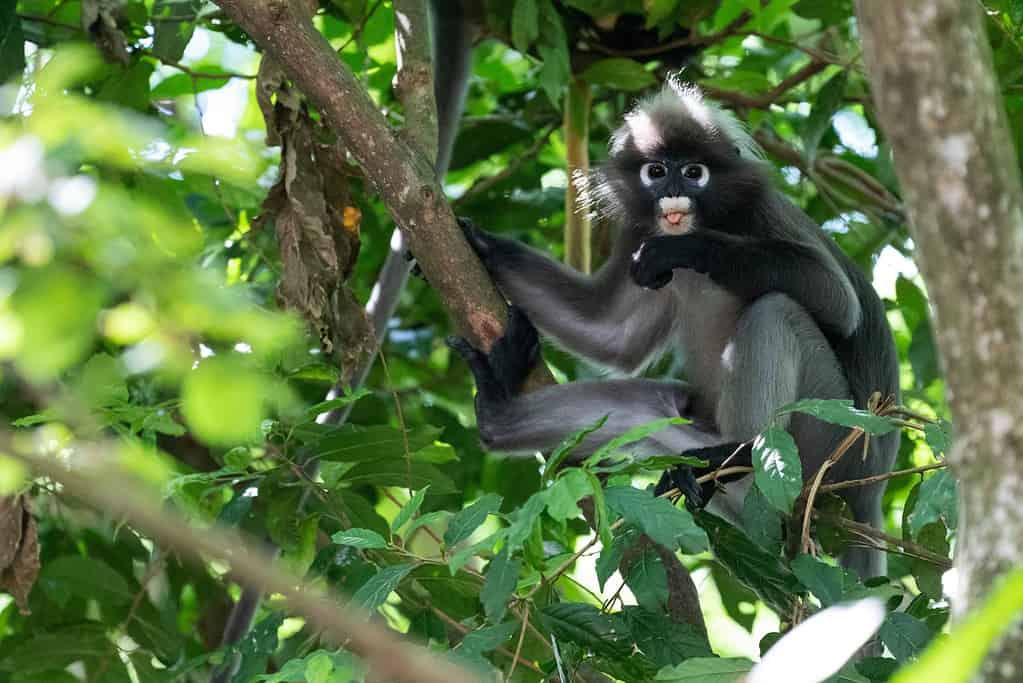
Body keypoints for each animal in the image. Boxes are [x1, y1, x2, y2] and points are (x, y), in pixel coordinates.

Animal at [447, 80, 900, 580]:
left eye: (694, 172)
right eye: (657, 171)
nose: (674, 193)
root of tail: (869, 494)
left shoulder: (758, 211)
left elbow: (838, 301)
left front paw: (692, 250)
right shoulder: (638, 233)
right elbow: (612, 335)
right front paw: (481, 244)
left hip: (834, 439)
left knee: (776, 309)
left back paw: (744, 452)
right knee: (647, 407)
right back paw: (497, 412)